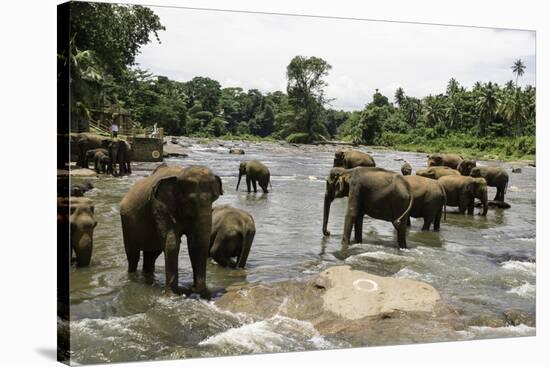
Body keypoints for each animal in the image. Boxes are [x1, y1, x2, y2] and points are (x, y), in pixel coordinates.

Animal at [121, 165, 224, 298]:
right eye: (190, 201)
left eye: (214, 198)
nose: (199, 291)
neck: (180, 173)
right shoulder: (159, 206)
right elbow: (172, 242)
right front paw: (173, 296)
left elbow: (195, 243)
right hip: (127, 225)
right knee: (133, 256)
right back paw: (132, 278)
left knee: (151, 256)